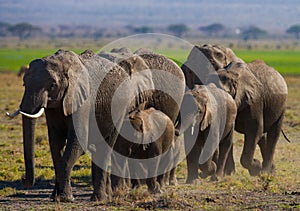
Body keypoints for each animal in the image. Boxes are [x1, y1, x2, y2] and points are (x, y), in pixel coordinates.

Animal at [7, 48, 185, 202]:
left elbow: (77, 145)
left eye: (52, 85)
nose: (23, 179)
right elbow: (56, 145)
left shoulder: (84, 102)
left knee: (107, 148)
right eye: (24, 84)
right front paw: (56, 197)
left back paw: (102, 198)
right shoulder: (56, 107)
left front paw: (65, 198)